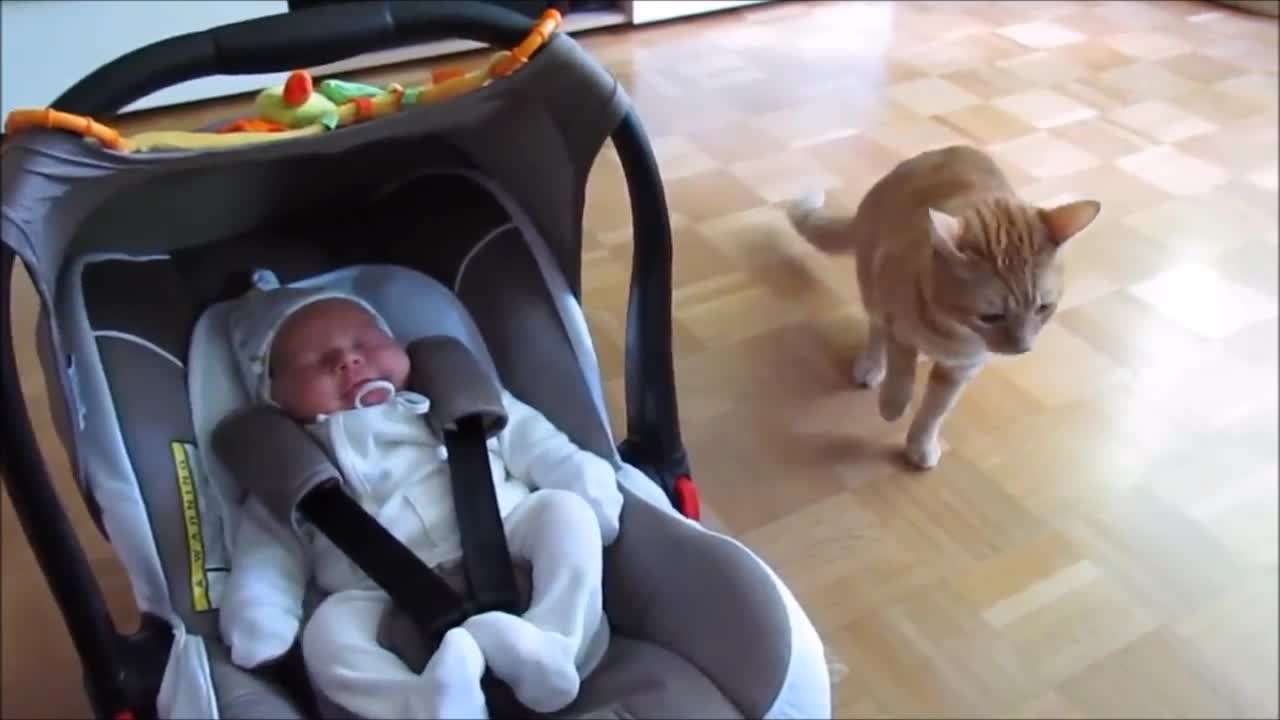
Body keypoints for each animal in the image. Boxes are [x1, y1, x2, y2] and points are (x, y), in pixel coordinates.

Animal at [788, 144, 1100, 468]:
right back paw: (872, 364)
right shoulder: (898, 323)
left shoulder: (961, 369)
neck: (952, 331)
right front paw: (893, 404)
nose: (1023, 348)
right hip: (872, 283)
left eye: (1043, 308)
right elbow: (901, 369)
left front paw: (920, 443)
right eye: (991, 316)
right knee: (876, 328)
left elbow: (935, 410)